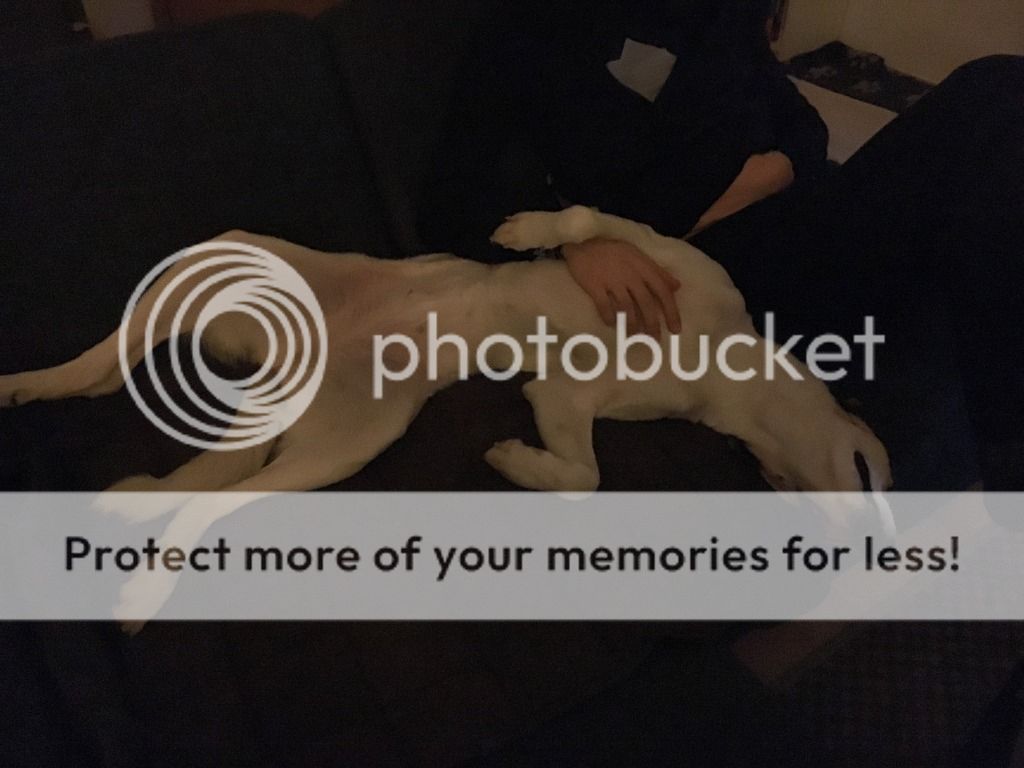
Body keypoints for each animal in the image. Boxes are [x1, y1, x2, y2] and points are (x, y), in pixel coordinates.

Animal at [0, 206, 892, 625]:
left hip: (346, 443)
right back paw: (30, 385)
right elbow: (584, 222)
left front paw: (515, 463)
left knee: (202, 489)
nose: (880, 552)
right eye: (878, 473)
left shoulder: (566, 397)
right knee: (109, 367)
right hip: (229, 253)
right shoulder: (664, 255)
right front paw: (528, 229)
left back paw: (134, 545)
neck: (722, 359)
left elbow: (583, 474)